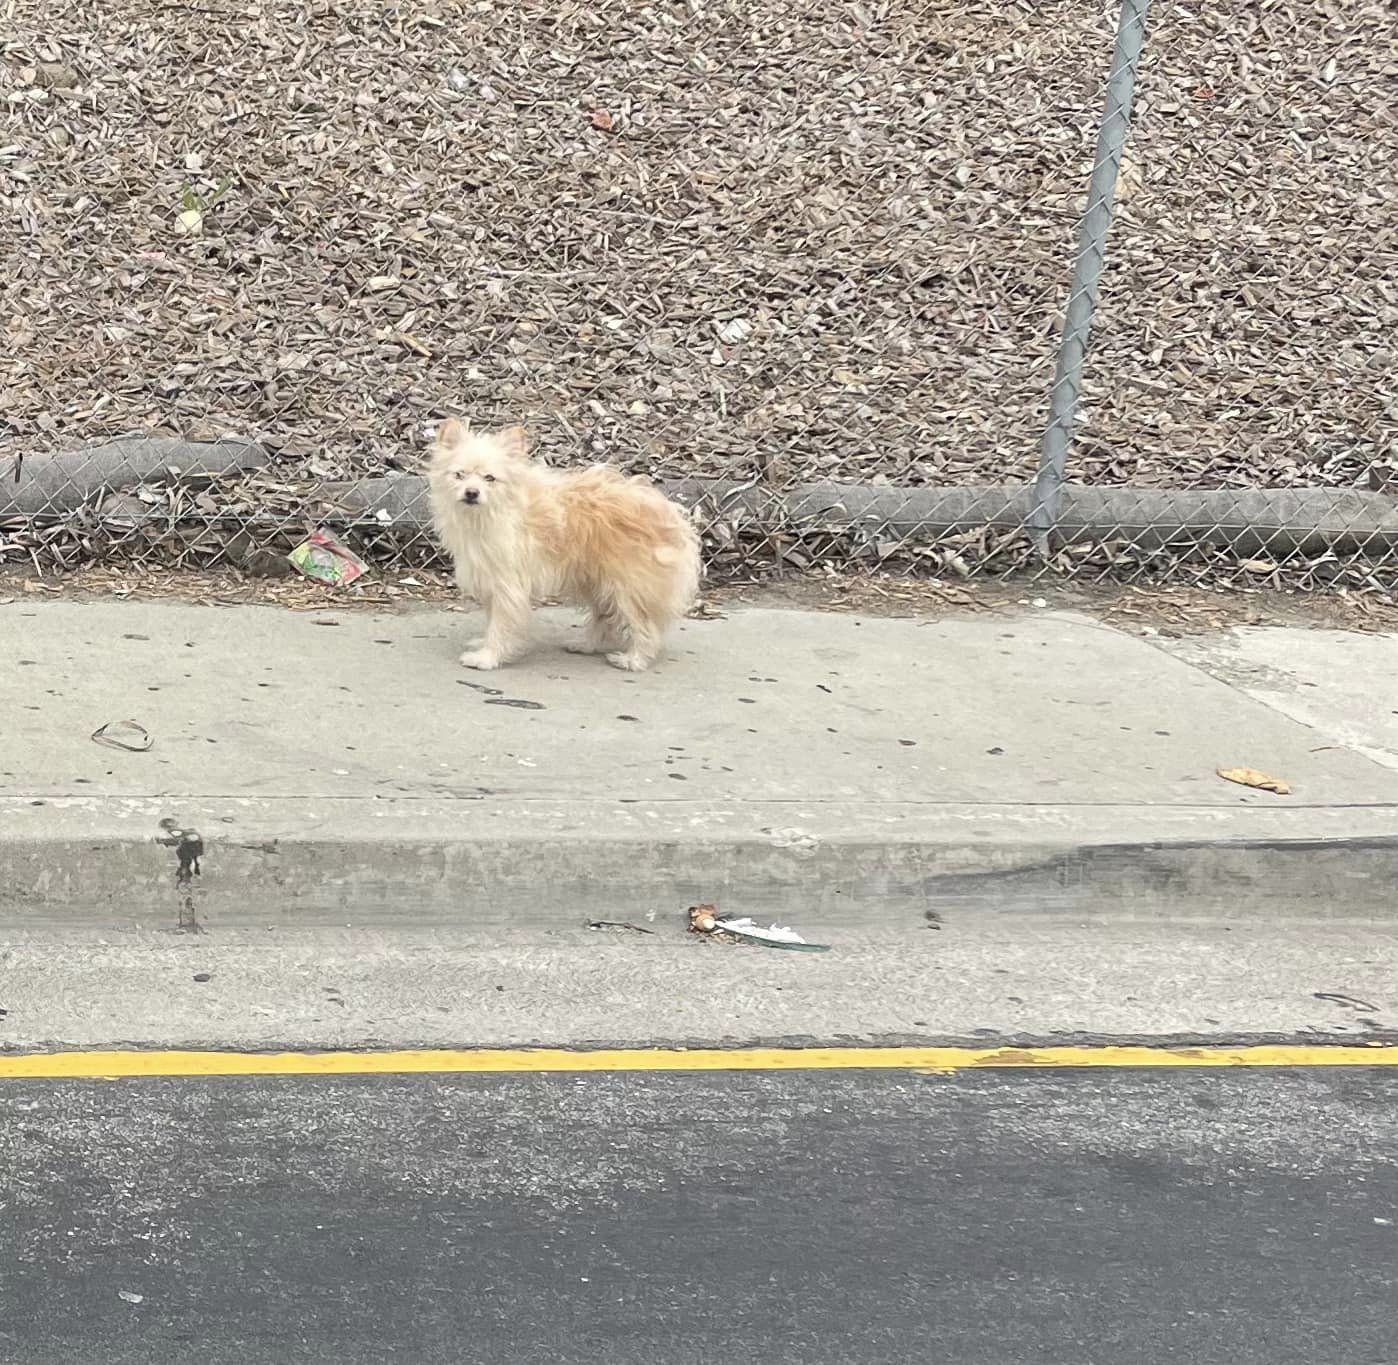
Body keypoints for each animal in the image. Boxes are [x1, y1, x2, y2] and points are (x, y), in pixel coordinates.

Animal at [427, 416, 699, 671]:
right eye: (459, 475)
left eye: (490, 478)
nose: (472, 492)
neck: (490, 513)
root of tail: (672, 516)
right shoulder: (492, 580)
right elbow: (491, 618)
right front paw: (484, 645)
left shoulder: (508, 585)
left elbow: (500, 624)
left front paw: (488, 656)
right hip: (599, 583)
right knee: (605, 617)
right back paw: (586, 645)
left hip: (627, 588)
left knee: (645, 626)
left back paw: (634, 660)